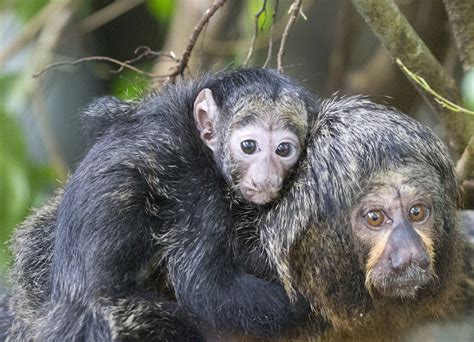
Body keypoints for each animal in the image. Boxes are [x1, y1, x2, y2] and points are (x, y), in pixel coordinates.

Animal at [5, 68, 316, 340]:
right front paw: (304, 306)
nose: (265, 178)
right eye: (249, 146)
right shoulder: (194, 187)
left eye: (283, 150)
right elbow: (203, 286)